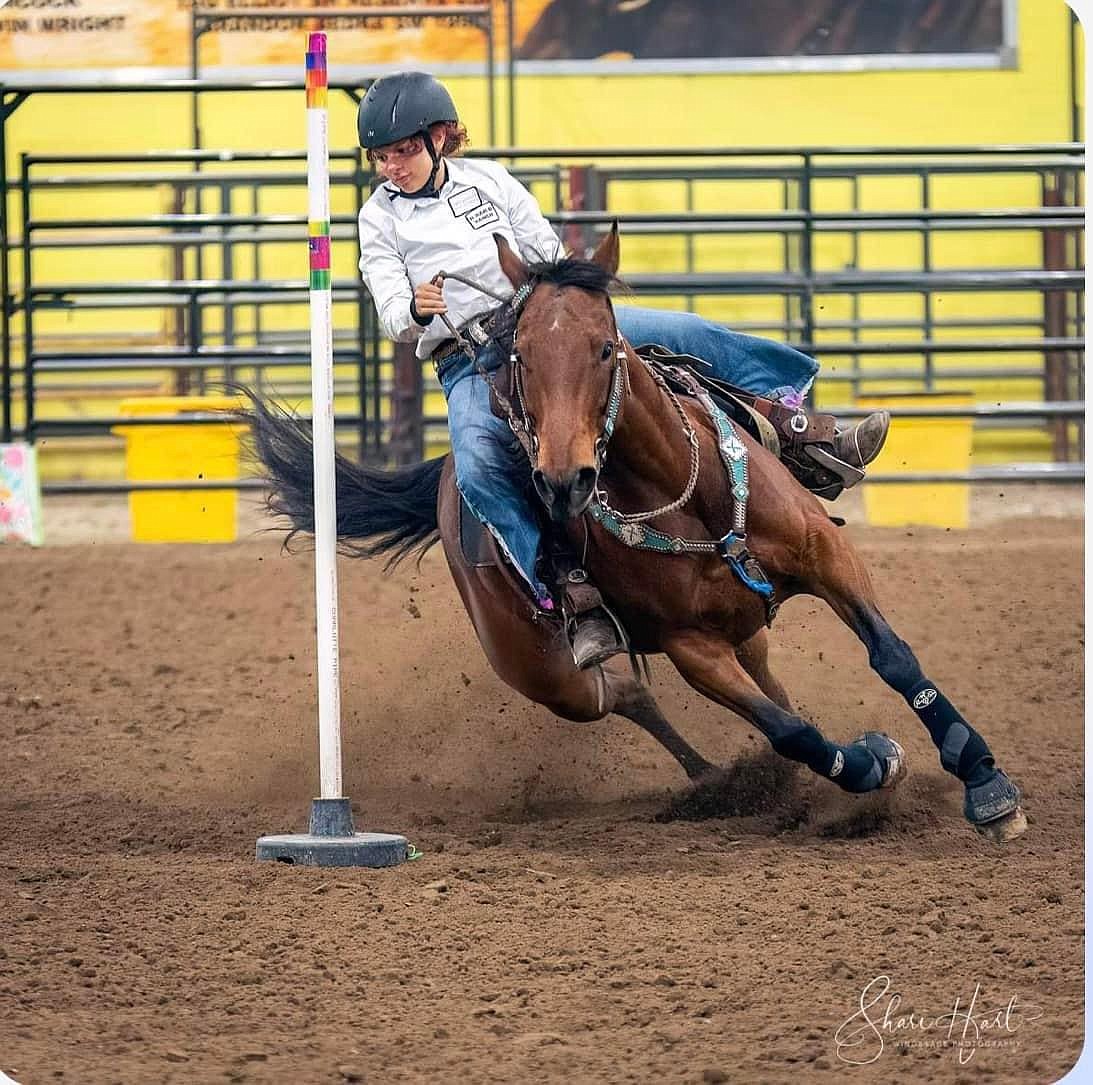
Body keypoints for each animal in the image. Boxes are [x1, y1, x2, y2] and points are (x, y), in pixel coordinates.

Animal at [243, 226, 1027, 839]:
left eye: (603, 348)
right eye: (523, 355)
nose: (564, 479)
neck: (680, 488)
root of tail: (442, 478)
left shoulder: (825, 554)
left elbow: (891, 657)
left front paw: (985, 782)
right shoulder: (689, 646)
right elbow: (790, 731)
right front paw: (869, 761)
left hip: (745, 622)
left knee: (756, 677)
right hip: (545, 673)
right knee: (624, 696)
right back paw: (718, 780)